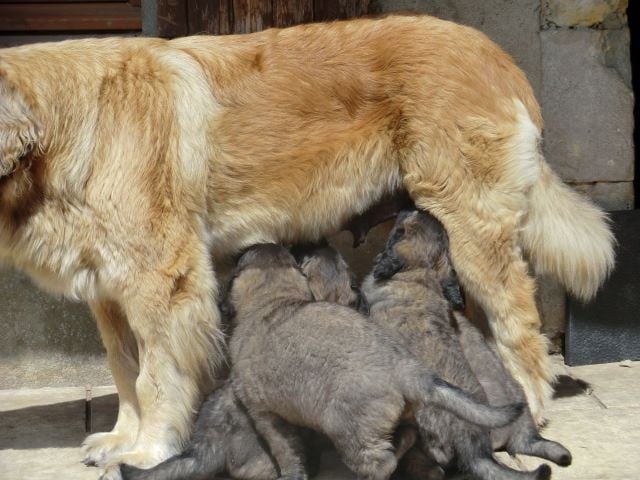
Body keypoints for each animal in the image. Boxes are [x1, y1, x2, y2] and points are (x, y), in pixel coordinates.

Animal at [228, 244, 524, 480]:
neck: (271, 299)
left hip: (350, 433)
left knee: (382, 463)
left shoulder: (263, 414)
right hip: (400, 418)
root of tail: (408, 371)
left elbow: (286, 451)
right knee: (408, 436)